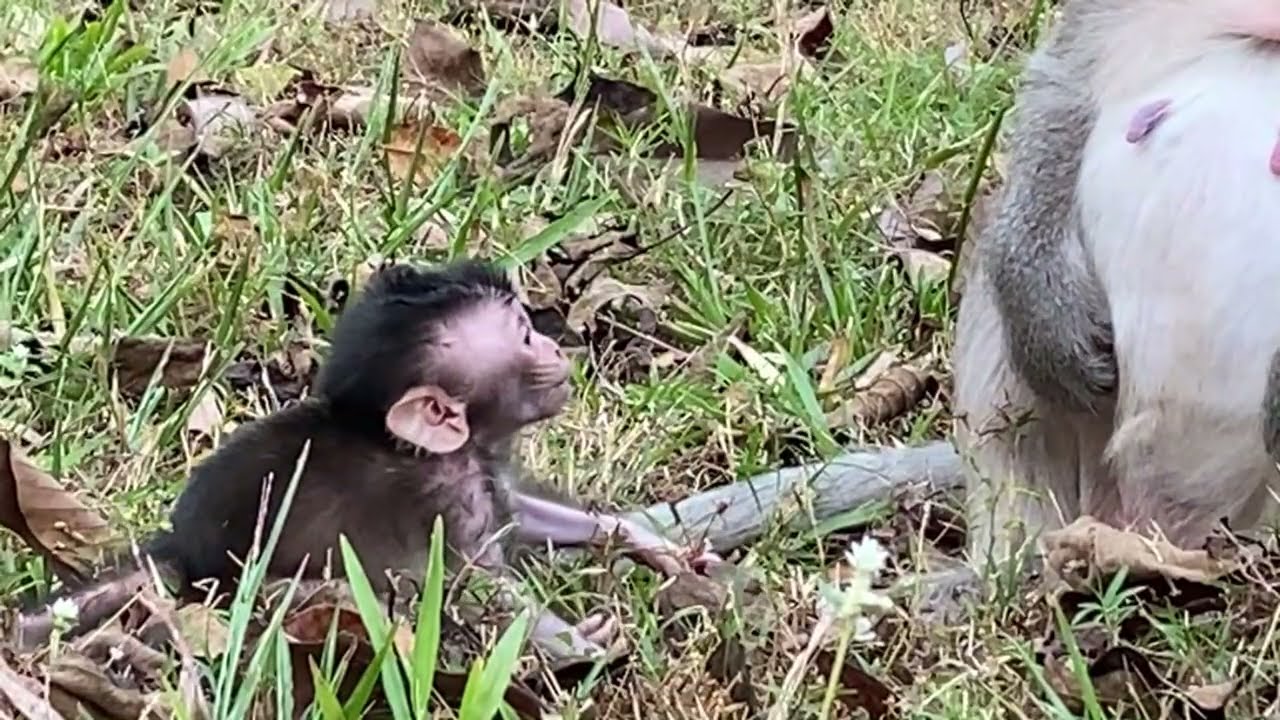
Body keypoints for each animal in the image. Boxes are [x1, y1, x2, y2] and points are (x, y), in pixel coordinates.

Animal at [14, 260, 719, 661]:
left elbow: (523, 516)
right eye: (523, 336)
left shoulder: (483, 478)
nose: (553, 344)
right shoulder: (448, 497)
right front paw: (583, 644)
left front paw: (649, 543)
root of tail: (182, 551)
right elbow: (476, 586)